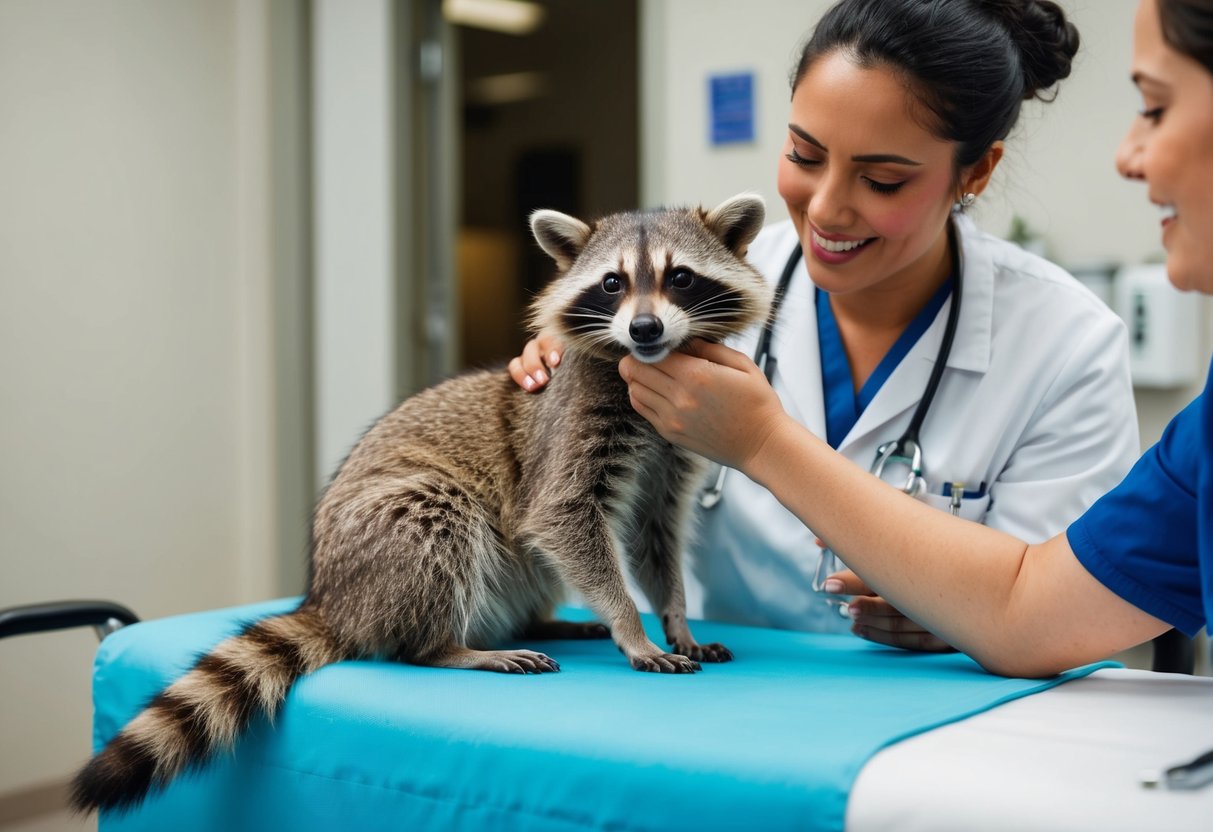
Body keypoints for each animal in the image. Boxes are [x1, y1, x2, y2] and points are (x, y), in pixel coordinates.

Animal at [70, 193, 771, 814]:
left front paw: (675, 617)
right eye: (611, 284)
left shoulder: (670, 448)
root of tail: (329, 597)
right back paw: (451, 647)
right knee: (439, 522)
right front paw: (632, 626)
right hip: (389, 527)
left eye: (680, 277)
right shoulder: (571, 427)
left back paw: (536, 621)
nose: (644, 327)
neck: (644, 365)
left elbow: (655, 536)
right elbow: (561, 516)